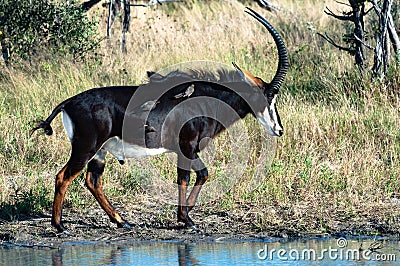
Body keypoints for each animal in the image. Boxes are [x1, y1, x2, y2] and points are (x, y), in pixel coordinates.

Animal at [32, 7, 288, 233]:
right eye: (269, 96)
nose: (279, 130)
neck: (206, 98)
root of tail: (69, 102)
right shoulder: (187, 146)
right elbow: (196, 175)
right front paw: (187, 219)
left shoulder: (185, 149)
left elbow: (190, 176)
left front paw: (184, 217)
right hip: (86, 147)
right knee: (63, 177)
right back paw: (60, 226)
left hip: (100, 152)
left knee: (93, 181)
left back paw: (121, 221)